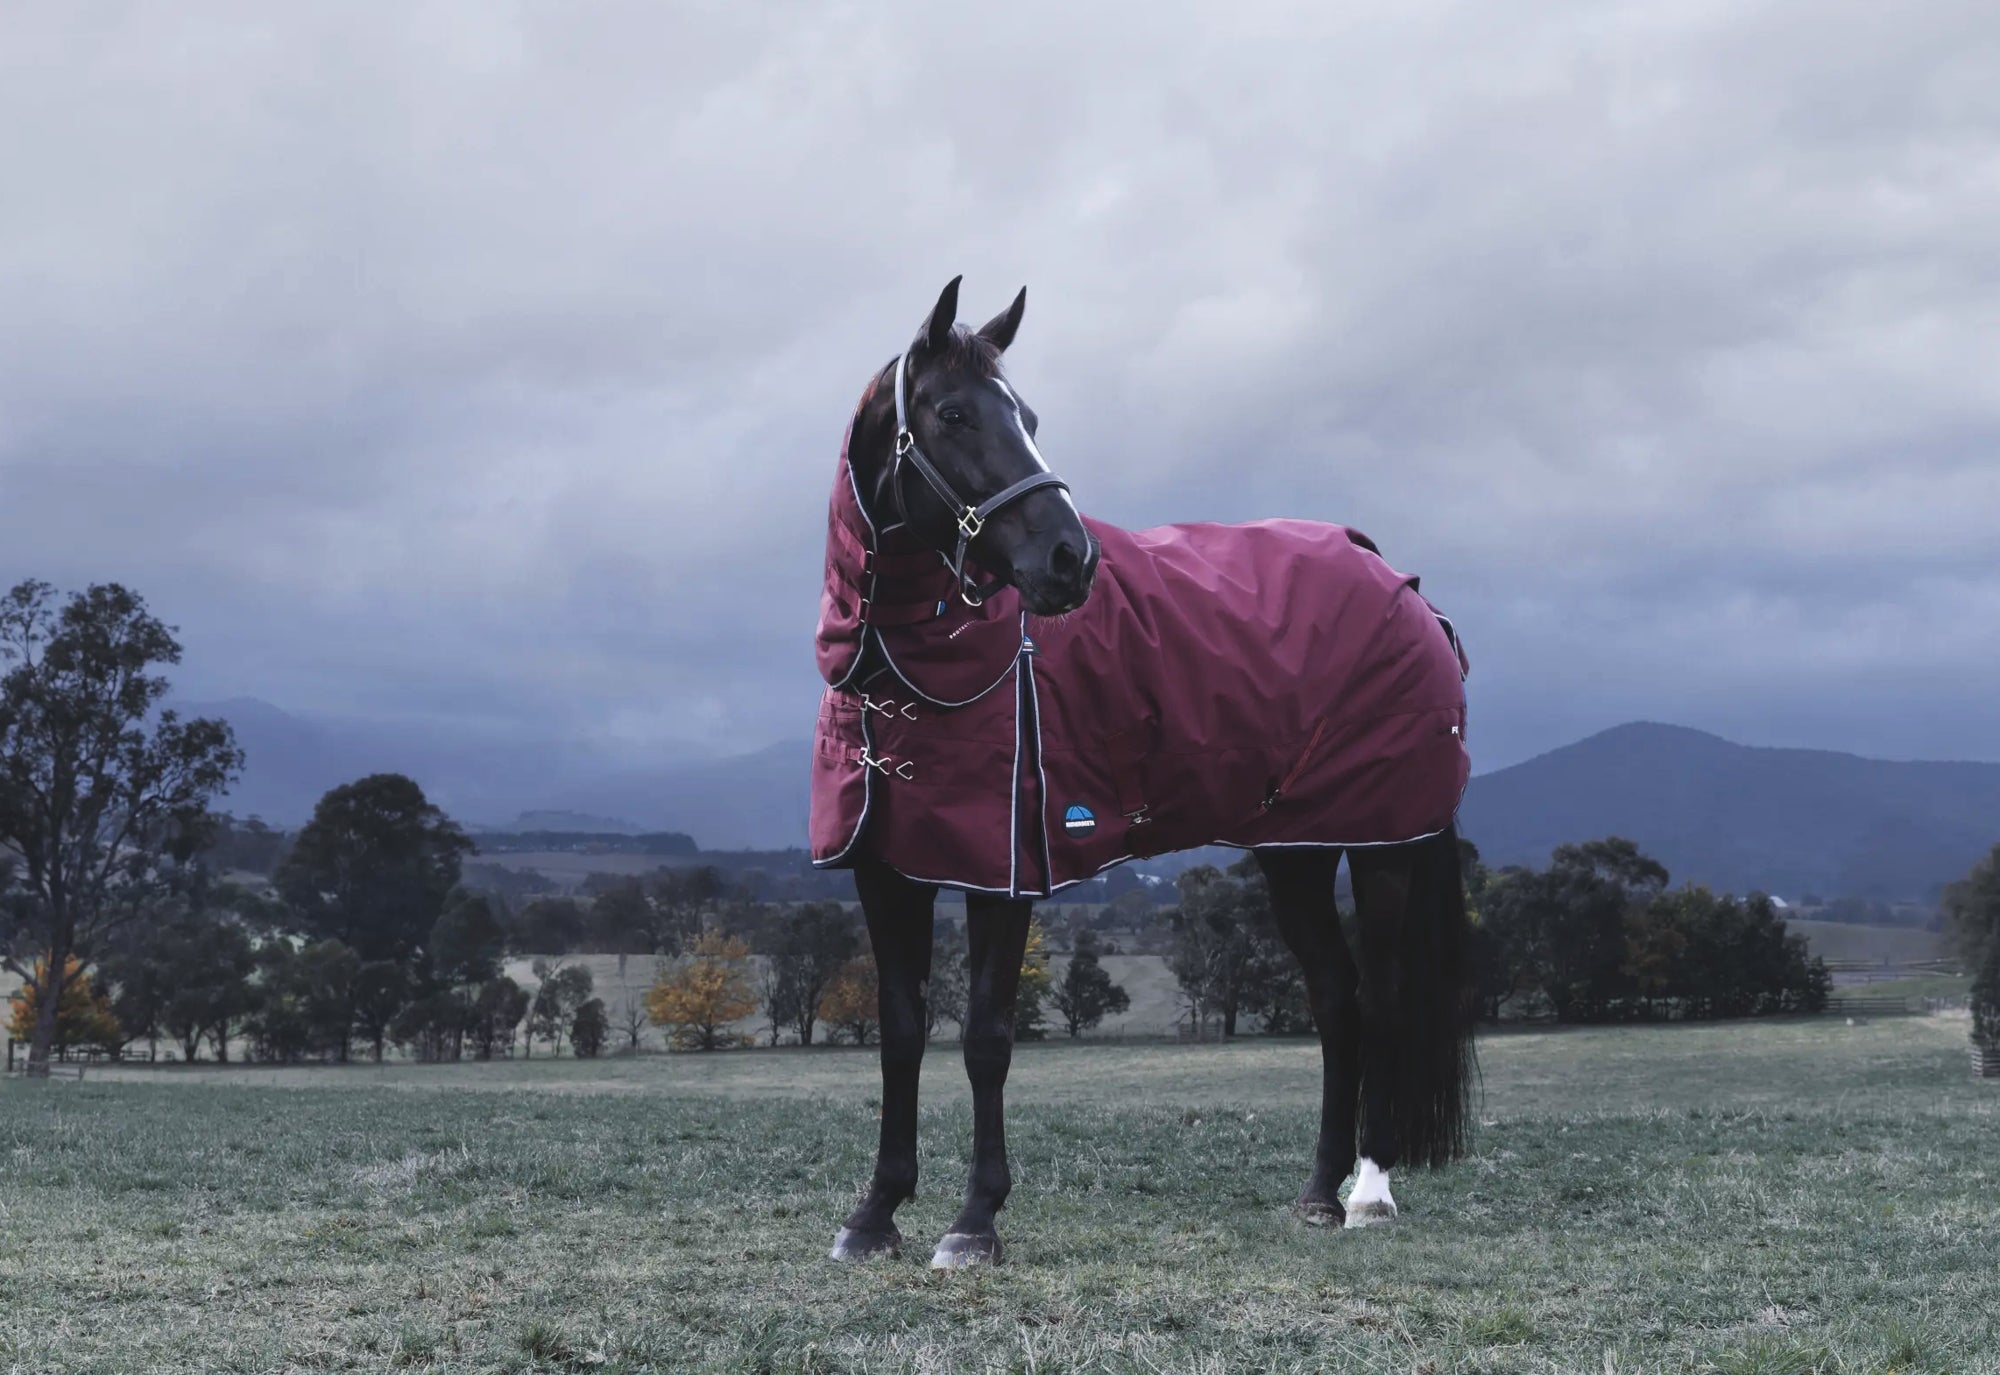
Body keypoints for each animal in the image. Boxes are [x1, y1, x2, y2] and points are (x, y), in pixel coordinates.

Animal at [809, 277, 1475, 1268]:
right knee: (1336, 999)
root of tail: (1401, 584)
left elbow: (986, 1038)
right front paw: (875, 1212)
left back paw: (1370, 1192)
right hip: (1297, 849)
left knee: (1386, 999)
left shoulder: (1007, 867)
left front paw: (975, 1221)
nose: (1069, 558)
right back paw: (1318, 1194)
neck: (903, 670)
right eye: (955, 413)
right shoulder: (887, 867)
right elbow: (898, 1033)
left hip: (1385, 841)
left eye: (1028, 417)